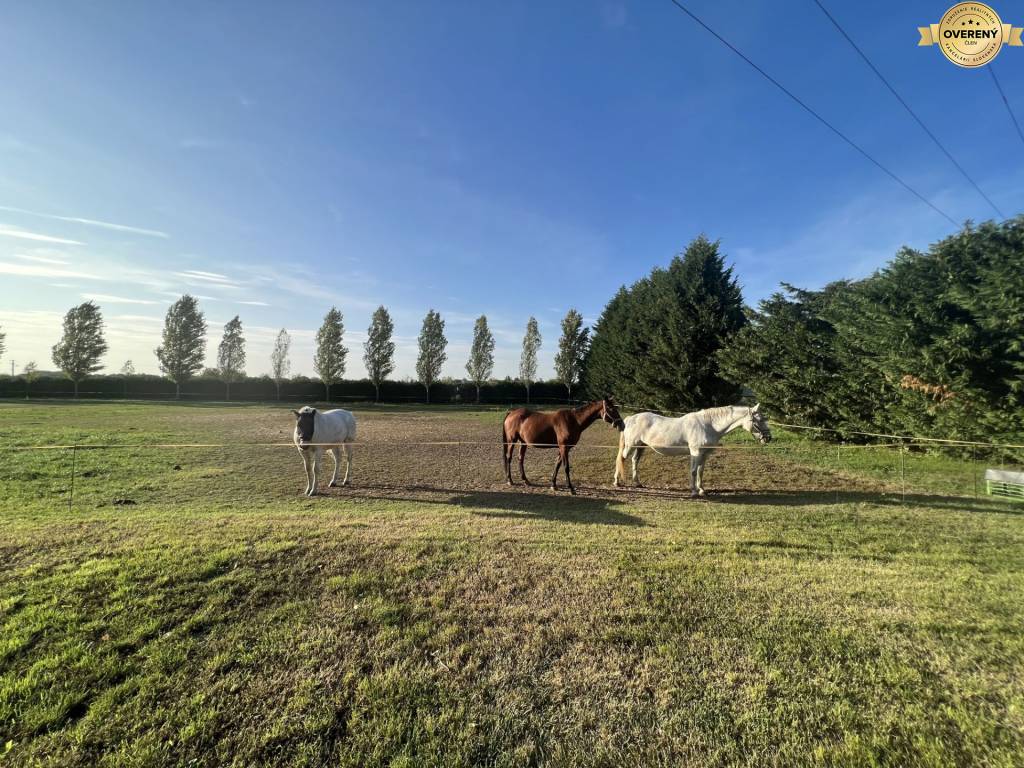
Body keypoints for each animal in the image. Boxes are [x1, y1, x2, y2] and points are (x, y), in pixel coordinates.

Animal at [610, 403, 770, 499]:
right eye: (759, 420)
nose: (768, 438)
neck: (708, 425)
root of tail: (630, 418)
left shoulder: (704, 455)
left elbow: (700, 471)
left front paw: (702, 490)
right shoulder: (696, 452)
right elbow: (693, 471)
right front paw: (693, 491)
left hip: (641, 446)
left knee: (634, 461)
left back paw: (637, 483)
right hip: (631, 445)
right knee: (622, 459)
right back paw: (617, 482)